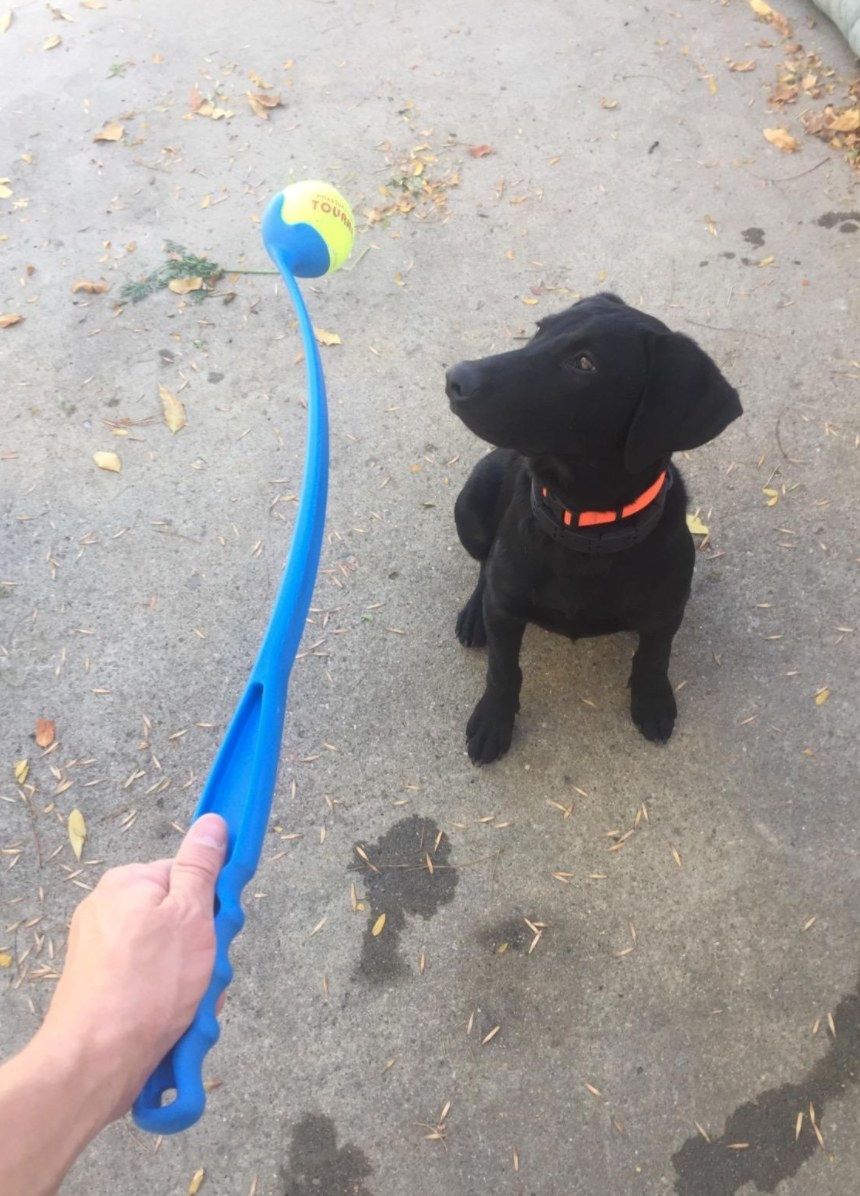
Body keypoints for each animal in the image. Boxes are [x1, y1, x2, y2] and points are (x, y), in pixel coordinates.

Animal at [447, 290, 741, 765]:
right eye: (540, 329)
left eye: (584, 363)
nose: (455, 378)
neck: (586, 528)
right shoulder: (507, 607)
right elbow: (503, 670)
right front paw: (494, 720)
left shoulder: (666, 612)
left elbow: (654, 658)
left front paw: (652, 700)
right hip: (469, 508)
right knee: (484, 565)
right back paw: (476, 612)